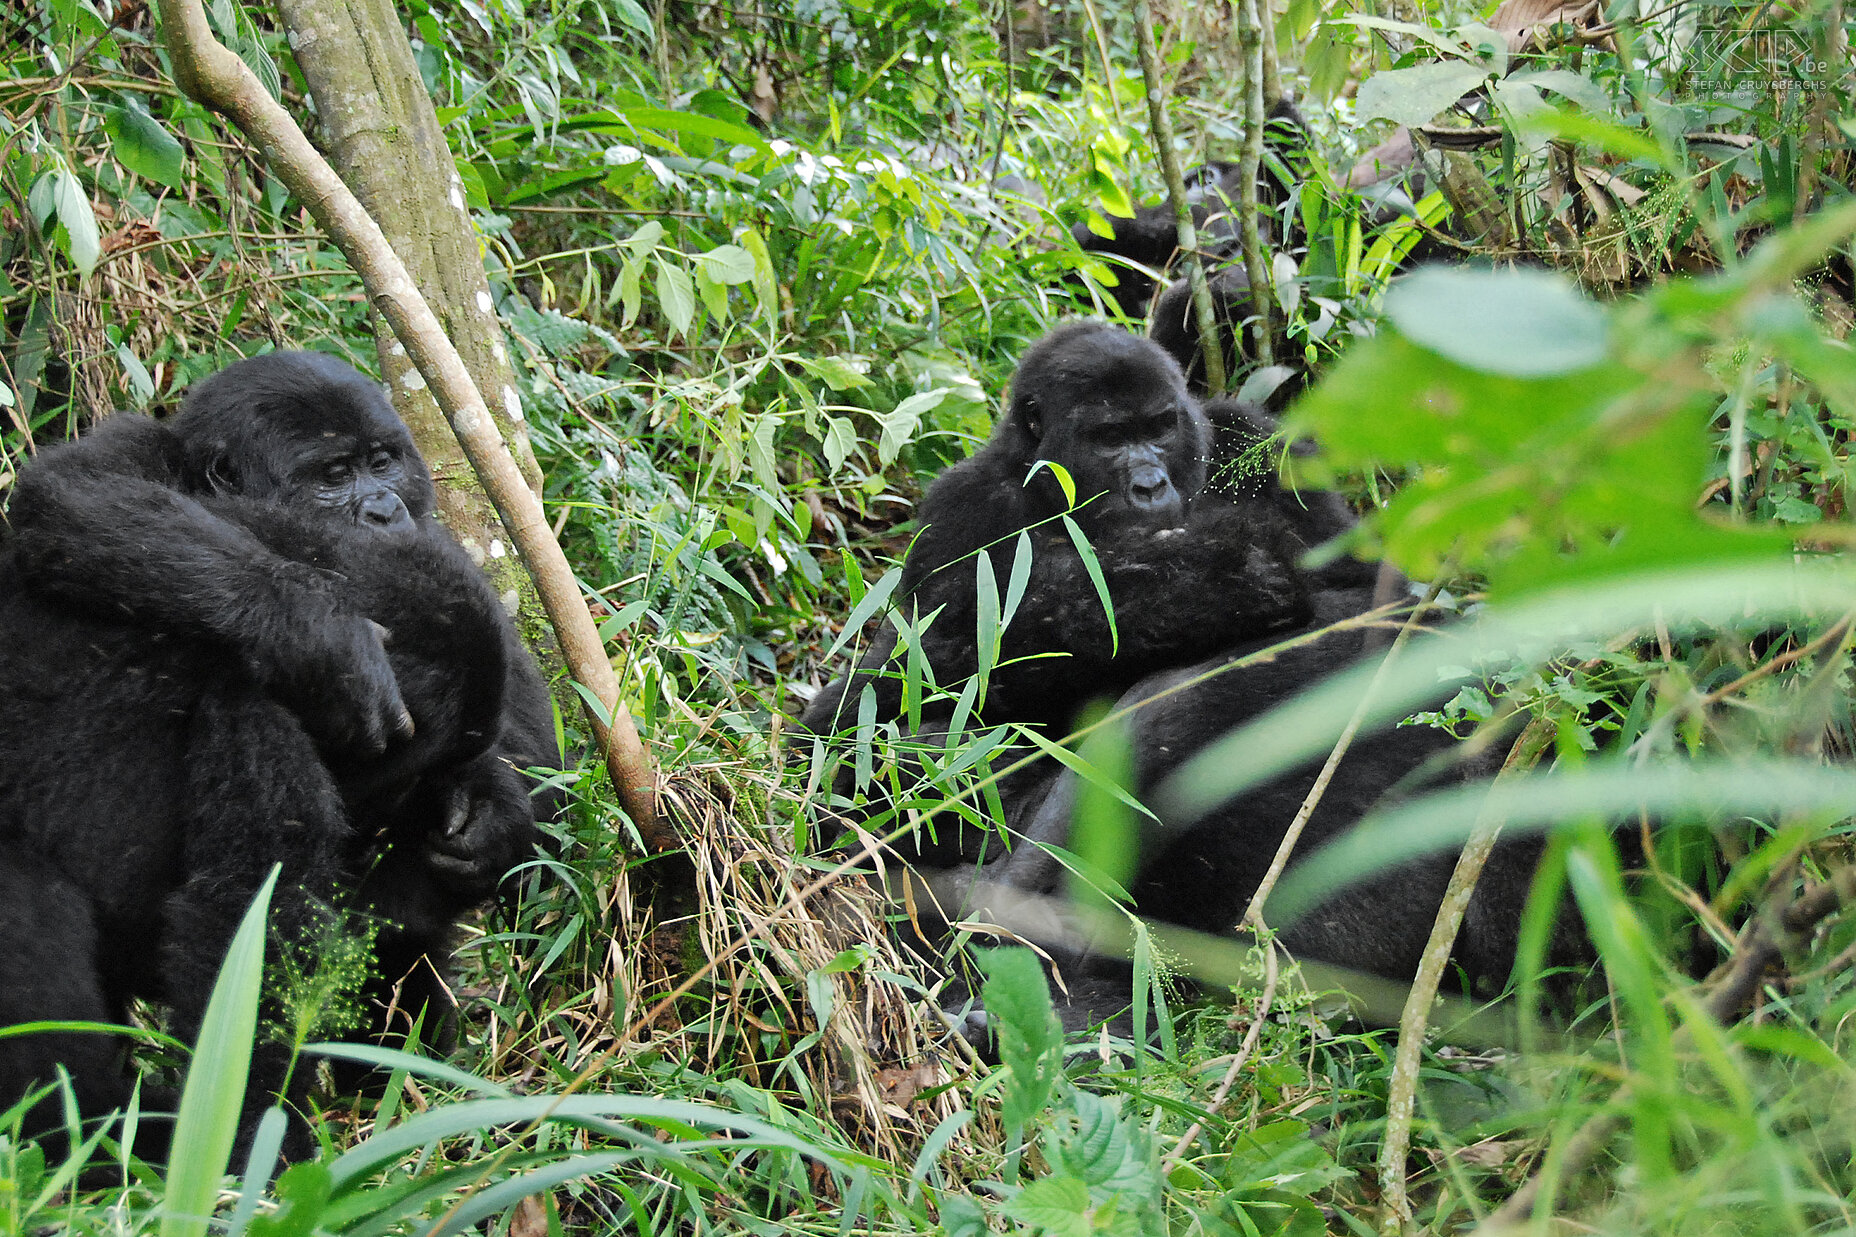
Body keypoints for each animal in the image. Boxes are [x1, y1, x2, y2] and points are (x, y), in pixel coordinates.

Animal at [0, 354, 556, 1158]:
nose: (384, 509)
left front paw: (490, 814)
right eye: (333, 474)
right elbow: (72, 496)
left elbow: (534, 741)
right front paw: (313, 629)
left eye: (383, 462)